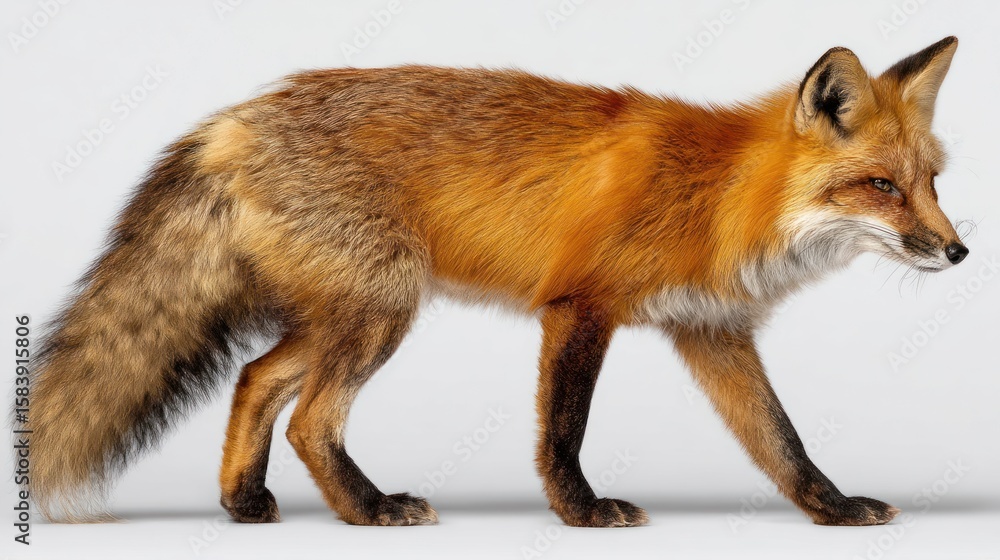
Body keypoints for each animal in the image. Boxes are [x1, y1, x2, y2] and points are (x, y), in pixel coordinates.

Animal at [23, 37, 967, 527]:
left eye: (931, 181)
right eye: (881, 187)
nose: (959, 253)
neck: (720, 194)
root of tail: (232, 120)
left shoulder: (710, 331)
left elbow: (781, 438)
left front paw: (831, 509)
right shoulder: (580, 308)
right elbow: (564, 430)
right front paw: (581, 512)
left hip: (349, 311)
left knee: (257, 379)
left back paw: (246, 501)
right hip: (381, 312)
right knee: (309, 417)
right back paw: (368, 509)